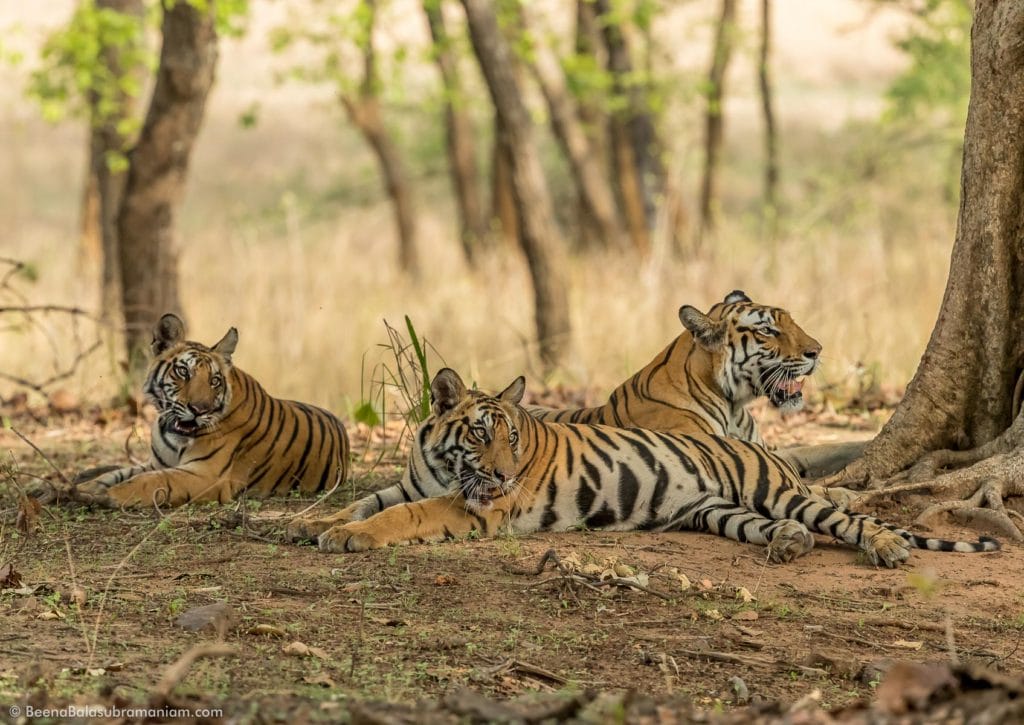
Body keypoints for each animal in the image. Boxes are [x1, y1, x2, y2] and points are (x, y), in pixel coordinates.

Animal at [72, 313, 350, 507]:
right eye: (183, 371)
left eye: (214, 381)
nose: (199, 409)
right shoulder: (155, 462)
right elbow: (118, 473)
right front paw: (86, 488)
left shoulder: (207, 475)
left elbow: (151, 481)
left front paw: (110, 495)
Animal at [288, 368, 999, 565]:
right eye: (483, 433)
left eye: (514, 439)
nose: (505, 476)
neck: (442, 459)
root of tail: (756, 444)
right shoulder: (414, 480)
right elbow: (366, 500)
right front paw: (308, 523)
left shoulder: (471, 506)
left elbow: (402, 517)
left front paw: (347, 538)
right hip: (717, 511)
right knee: (773, 527)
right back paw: (789, 545)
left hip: (782, 491)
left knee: (850, 520)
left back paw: (887, 550)